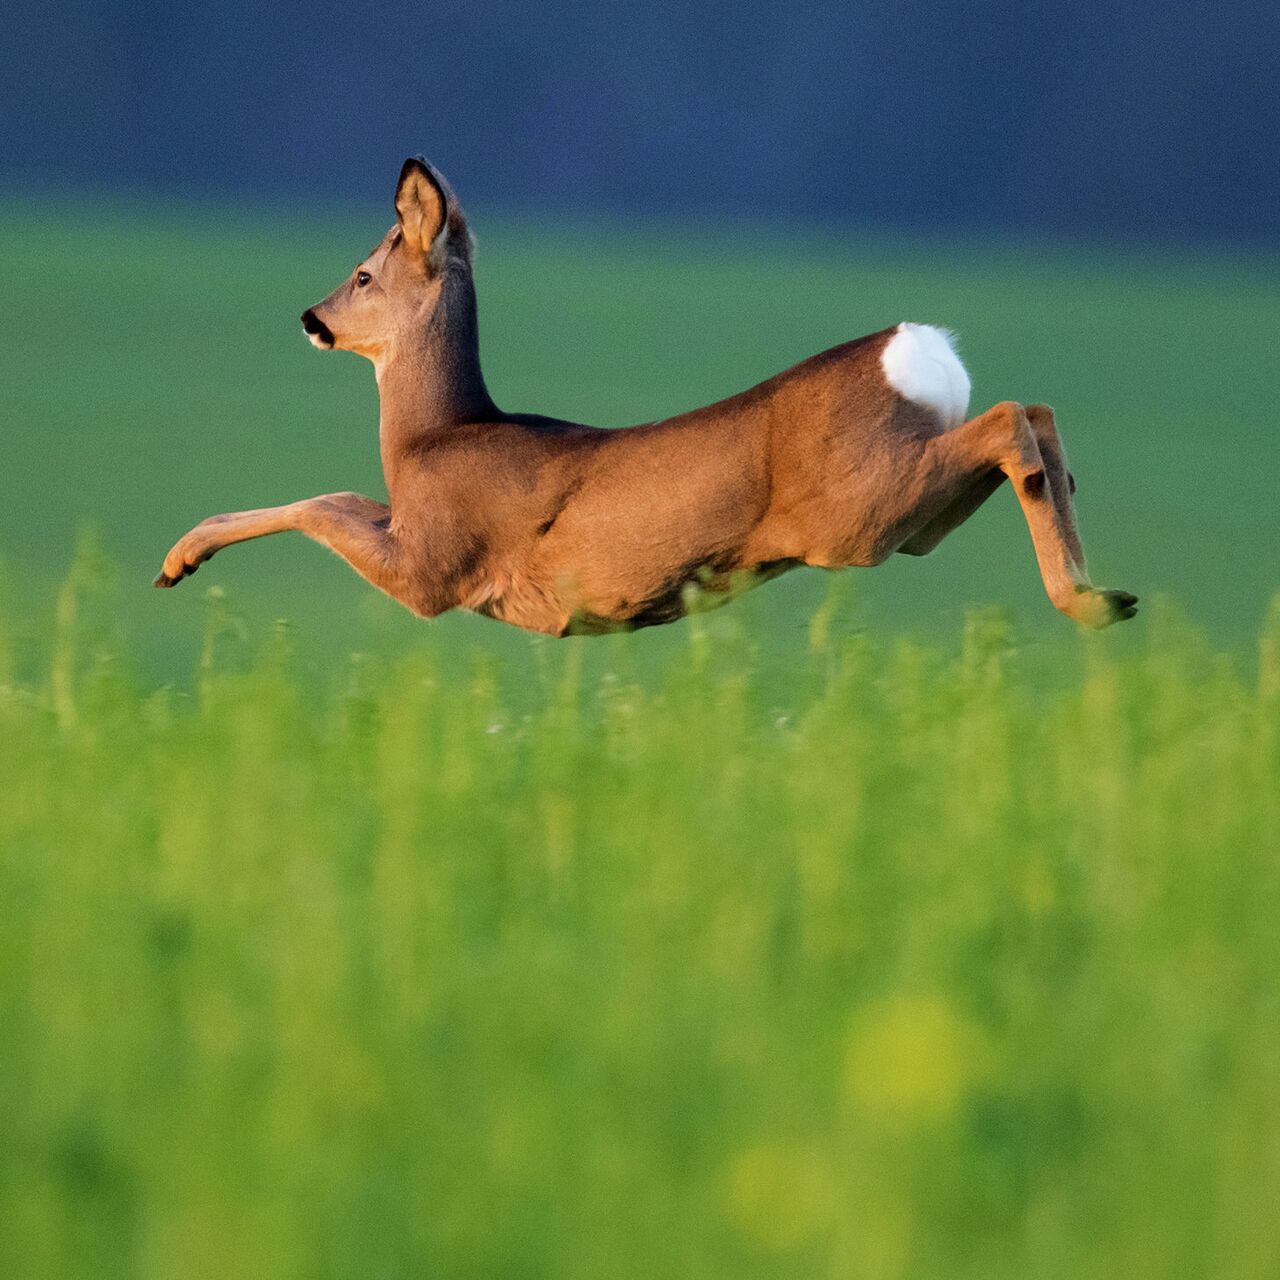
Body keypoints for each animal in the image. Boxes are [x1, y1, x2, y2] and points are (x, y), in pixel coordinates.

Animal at [152, 157, 1141, 637]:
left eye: (362, 274)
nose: (311, 318)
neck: (437, 435)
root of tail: (921, 350)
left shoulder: (434, 568)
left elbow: (324, 502)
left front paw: (179, 558)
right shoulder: (416, 533)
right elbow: (342, 494)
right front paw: (181, 557)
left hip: (856, 511)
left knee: (1011, 420)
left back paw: (1086, 600)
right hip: (911, 519)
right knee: (1034, 414)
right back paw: (1108, 592)